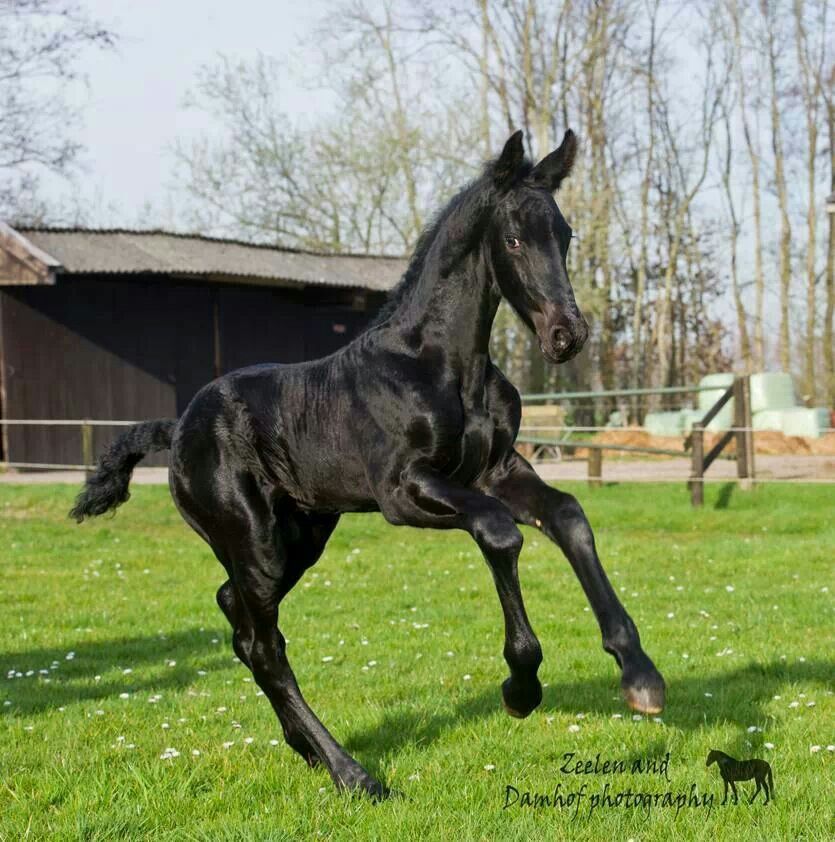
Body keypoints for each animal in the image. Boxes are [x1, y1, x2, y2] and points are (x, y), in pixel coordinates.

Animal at [75, 130, 668, 796]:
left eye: (564, 235)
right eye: (514, 239)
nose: (567, 335)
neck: (440, 365)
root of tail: (176, 428)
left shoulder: (496, 472)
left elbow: (567, 517)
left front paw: (640, 676)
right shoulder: (403, 492)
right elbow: (498, 532)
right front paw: (521, 685)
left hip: (300, 538)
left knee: (236, 615)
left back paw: (305, 748)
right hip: (255, 541)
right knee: (263, 645)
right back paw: (351, 773)